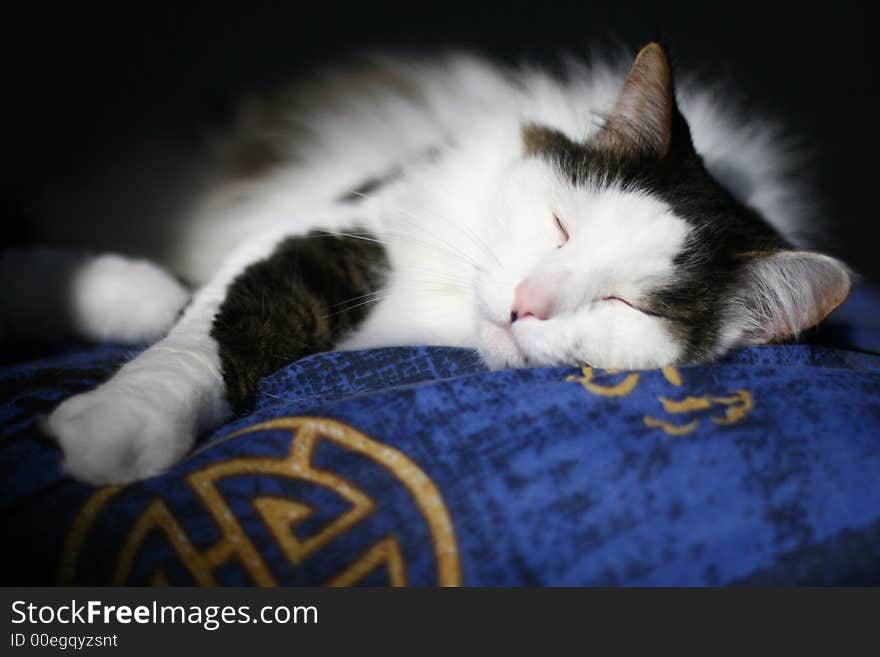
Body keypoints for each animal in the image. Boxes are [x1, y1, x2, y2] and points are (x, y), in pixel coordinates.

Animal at [5, 41, 852, 482]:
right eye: (562, 225)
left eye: (630, 305)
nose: (527, 302)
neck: (447, 312)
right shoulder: (339, 225)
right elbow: (209, 333)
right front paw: (120, 420)